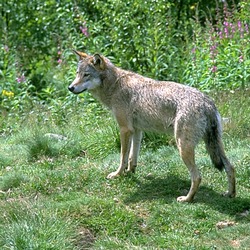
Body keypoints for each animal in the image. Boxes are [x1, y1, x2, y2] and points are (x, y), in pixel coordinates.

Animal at [67, 51, 235, 203]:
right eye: (77, 73)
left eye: (86, 75)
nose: (70, 87)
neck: (114, 85)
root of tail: (207, 103)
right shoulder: (137, 130)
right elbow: (132, 157)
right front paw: (130, 172)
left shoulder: (125, 129)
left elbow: (122, 156)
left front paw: (117, 174)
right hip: (215, 145)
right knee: (230, 167)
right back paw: (230, 194)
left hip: (183, 147)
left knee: (197, 176)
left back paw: (187, 199)